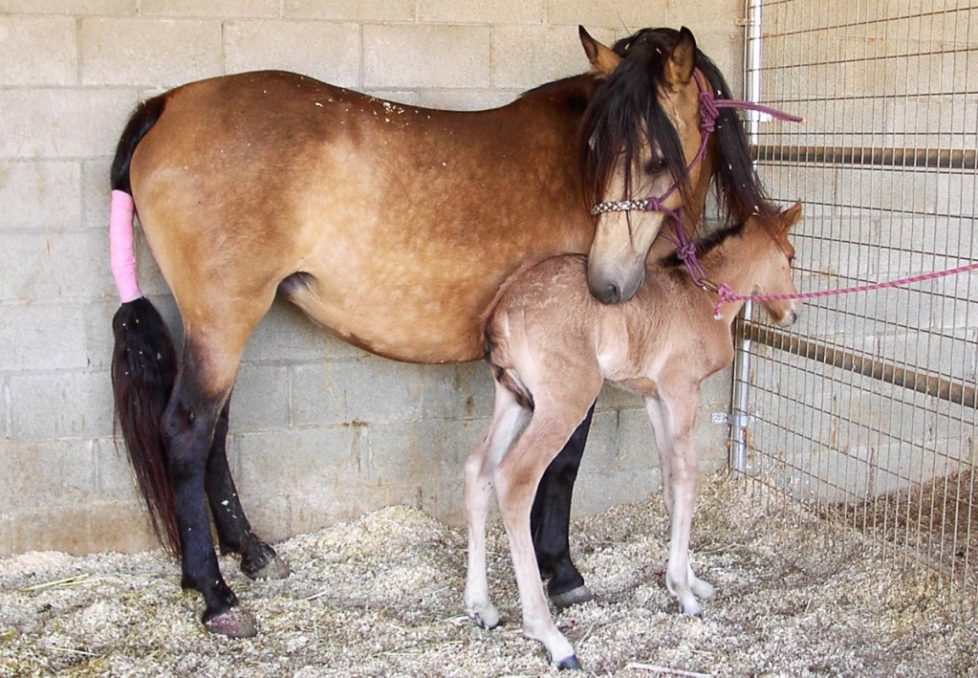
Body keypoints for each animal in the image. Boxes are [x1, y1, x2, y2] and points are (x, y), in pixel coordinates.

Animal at [109, 25, 770, 636]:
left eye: (655, 160)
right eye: (596, 154)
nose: (605, 284)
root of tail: (168, 102)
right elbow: (562, 464)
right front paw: (561, 572)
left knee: (214, 434)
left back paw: (250, 553)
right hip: (222, 321)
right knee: (188, 434)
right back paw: (215, 594)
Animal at [465, 203, 803, 669]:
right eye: (790, 256)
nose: (793, 315)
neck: (700, 300)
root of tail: (502, 307)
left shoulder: (654, 398)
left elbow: (670, 480)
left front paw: (693, 581)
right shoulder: (682, 390)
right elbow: (688, 477)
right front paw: (684, 593)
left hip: (513, 399)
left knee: (478, 468)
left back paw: (481, 606)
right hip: (563, 401)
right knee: (514, 478)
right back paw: (551, 637)